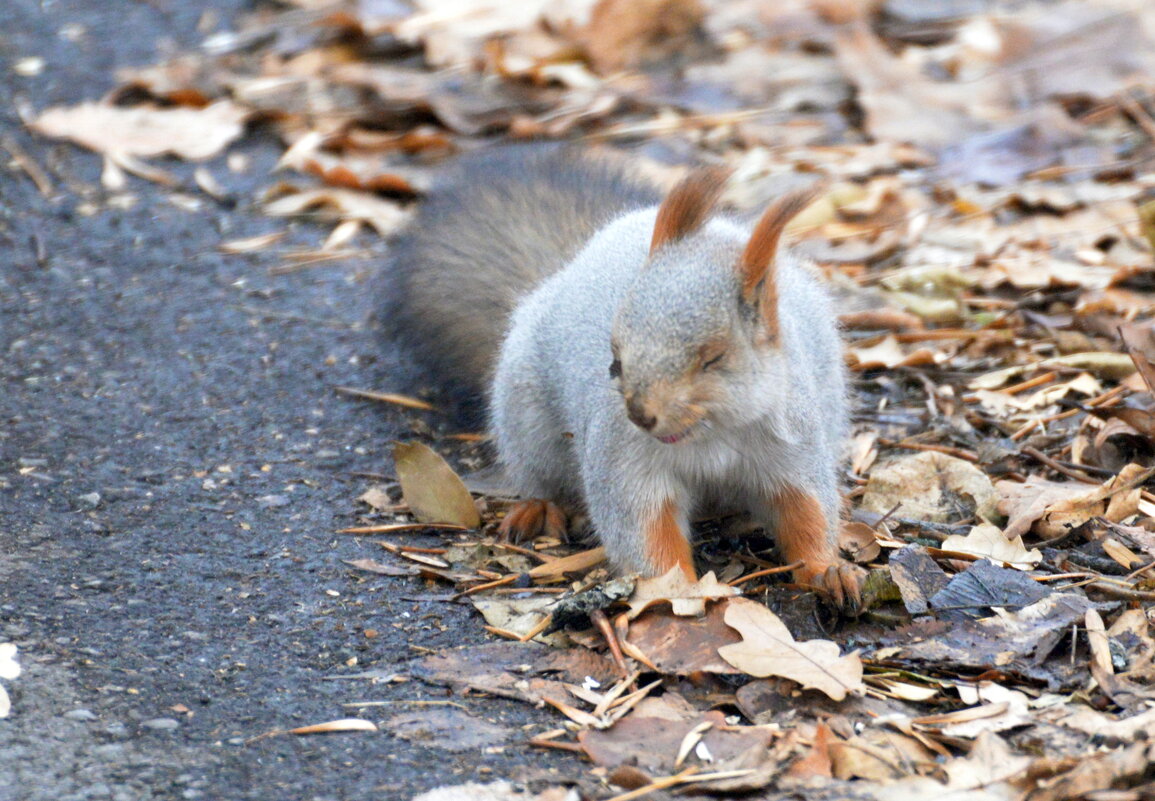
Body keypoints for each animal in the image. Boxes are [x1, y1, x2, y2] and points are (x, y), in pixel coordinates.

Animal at [383, 147, 863, 609]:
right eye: (613, 353)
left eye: (714, 358)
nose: (641, 414)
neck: (709, 436)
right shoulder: (625, 459)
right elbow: (646, 530)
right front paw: (679, 590)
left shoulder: (792, 445)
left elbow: (807, 511)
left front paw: (828, 571)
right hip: (528, 419)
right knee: (538, 474)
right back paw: (539, 507)